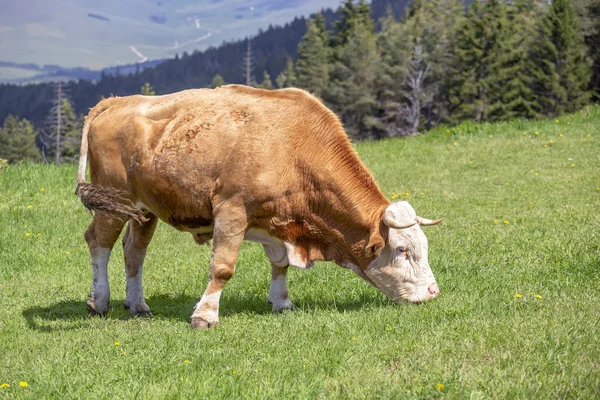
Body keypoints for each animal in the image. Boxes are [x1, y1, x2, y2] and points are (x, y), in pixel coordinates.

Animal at [76, 85, 440, 328]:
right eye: (403, 250)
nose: (433, 292)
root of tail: (116, 101)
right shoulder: (232, 210)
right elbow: (222, 267)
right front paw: (205, 316)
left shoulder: (276, 220)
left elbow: (280, 264)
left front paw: (282, 301)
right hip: (112, 200)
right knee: (98, 242)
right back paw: (99, 300)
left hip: (144, 210)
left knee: (134, 252)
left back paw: (138, 305)